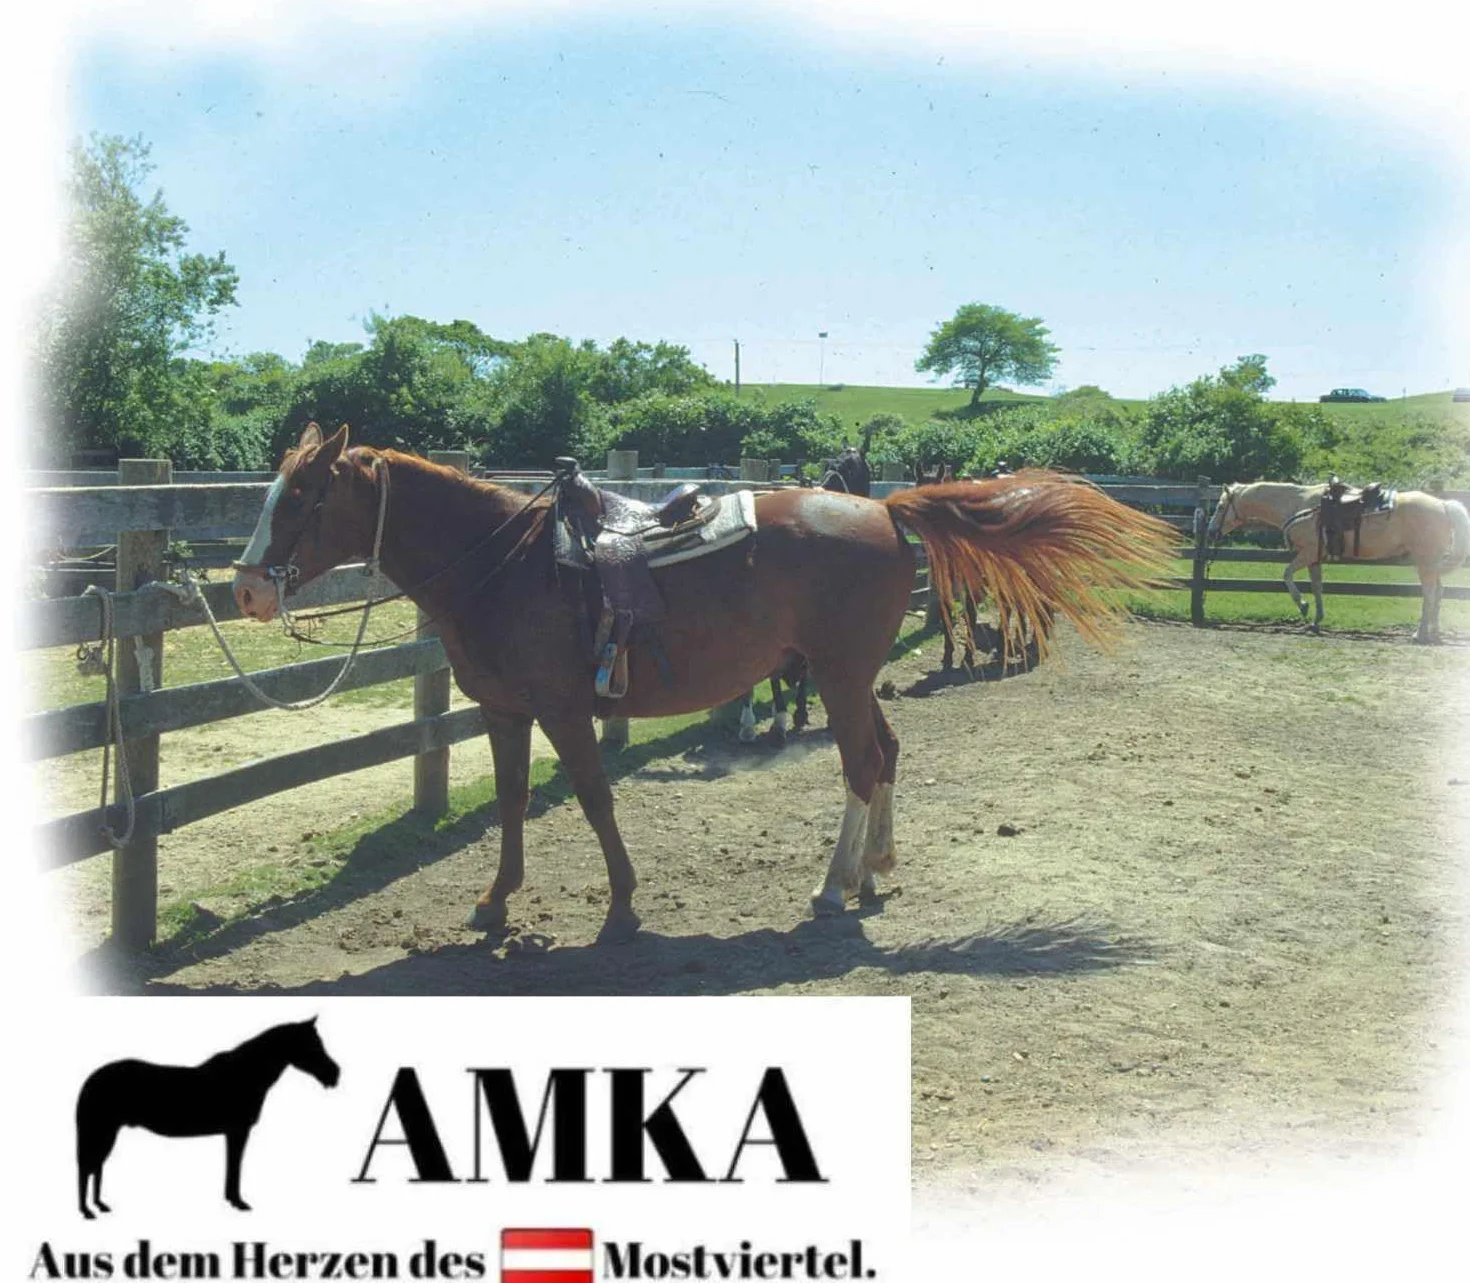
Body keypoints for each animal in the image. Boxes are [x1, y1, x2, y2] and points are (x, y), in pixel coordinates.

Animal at [76, 1018, 339, 1219]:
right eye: (313, 1045)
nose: (334, 1074)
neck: (244, 1075)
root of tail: (91, 1080)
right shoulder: (238, 1131)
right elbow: (234, 1166)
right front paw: (238, 1202)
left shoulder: (233, 1132)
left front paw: (232, 1200)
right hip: (101, 1131)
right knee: (87, 1167)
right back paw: (87, 1211)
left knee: (96, 1167)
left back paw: (99, 1206)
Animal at [232, 424, 1174, 942]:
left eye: (303, 496)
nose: (244, 589)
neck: (504, 563)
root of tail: (884, 508)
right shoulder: (505, 712)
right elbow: (509, 802)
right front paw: (495, 902)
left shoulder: (564, 710)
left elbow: (594, 797)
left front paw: (621, 907)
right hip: (853, 676)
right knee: (889, 752)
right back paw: (873, 869)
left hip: (837, 677)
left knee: (862, 764)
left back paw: (832, 886)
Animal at [1207, 480, 1470, 641]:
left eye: (1220, 506)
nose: (1210, 531)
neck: (1299, 505)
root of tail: (1443, 505)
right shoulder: (1315, 559)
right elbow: (1317, 587)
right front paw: (1315, 621)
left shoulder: (1307, 553)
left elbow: (1287, 575)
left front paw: (1302, 605)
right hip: (1431, 564)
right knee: (1439, 592)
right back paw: (1434, 633)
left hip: (1424, 562)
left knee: (1429, 594)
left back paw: (1420, 633)